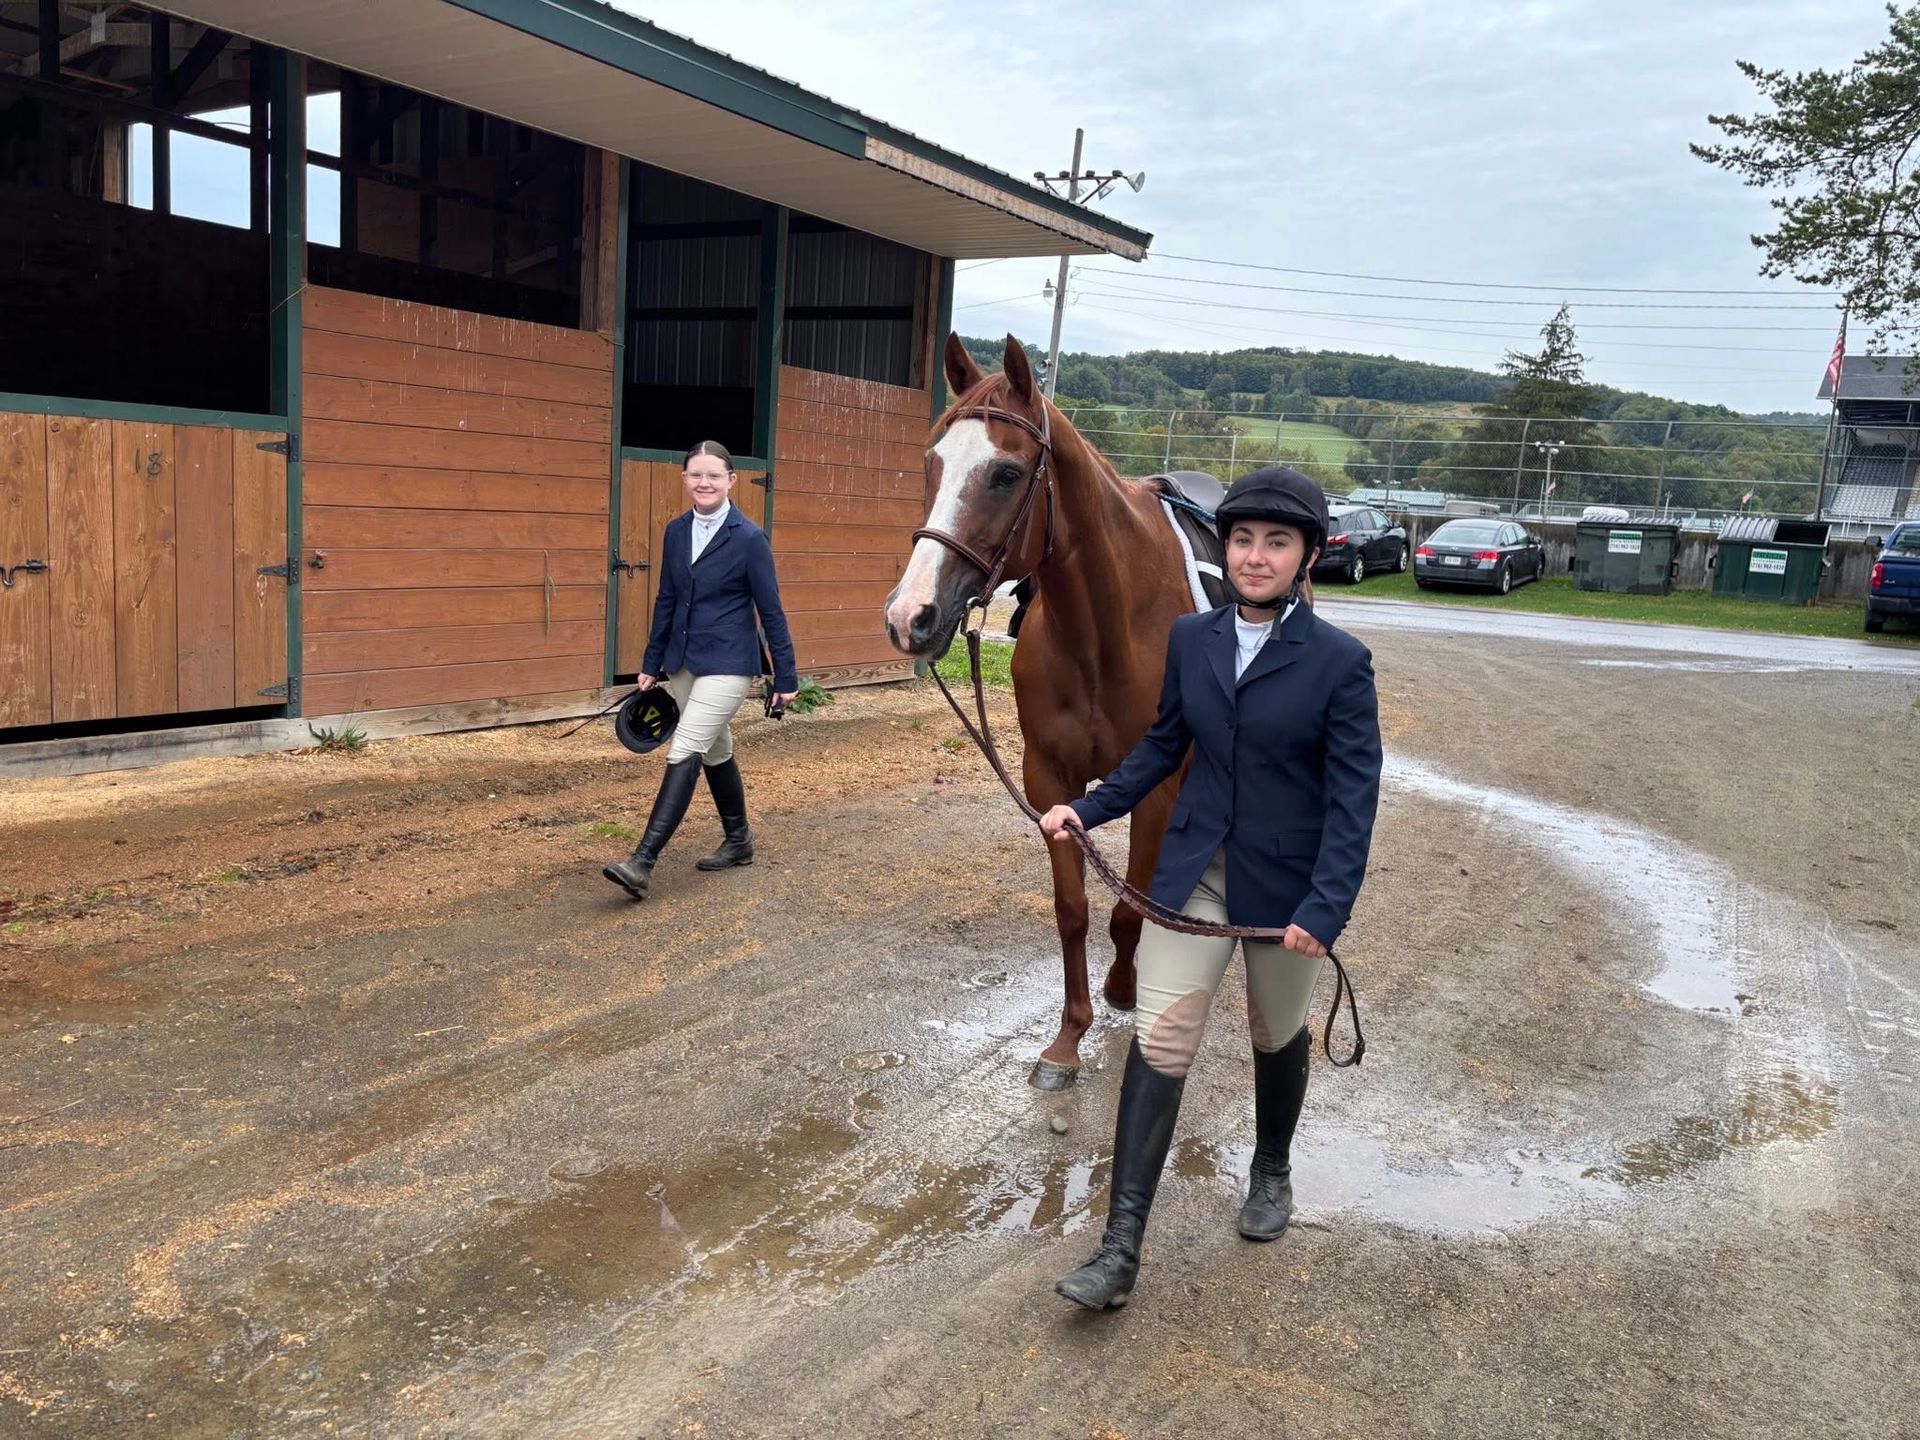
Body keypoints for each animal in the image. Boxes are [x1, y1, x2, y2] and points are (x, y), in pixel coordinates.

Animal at [883, 333, 1201, 1089]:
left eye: (1004, 473)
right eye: (933, 463)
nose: (910, 617)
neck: (1107, 629)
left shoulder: (1158, 786)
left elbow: (1130, 910)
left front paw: (1124, 989)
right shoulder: (1050, 781)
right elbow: (1075, 910)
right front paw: (1067, 1038)